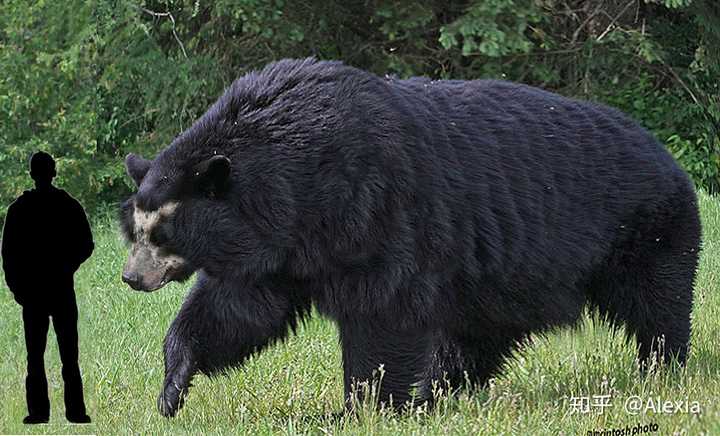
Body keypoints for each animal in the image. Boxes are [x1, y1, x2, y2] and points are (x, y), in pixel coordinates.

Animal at [121, 57, 700, 416]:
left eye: (163, 231)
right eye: (138, 227)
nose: (130, 278)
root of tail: (670, 161)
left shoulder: (372, 210)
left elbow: (384, 308)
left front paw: (359, 406)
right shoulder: (280, 250)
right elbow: (239, 310)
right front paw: (173, 386)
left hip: (643, 230)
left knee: (657, 302)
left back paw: (661, 369)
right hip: (497, 277)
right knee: (474, 338)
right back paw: (440, 394)